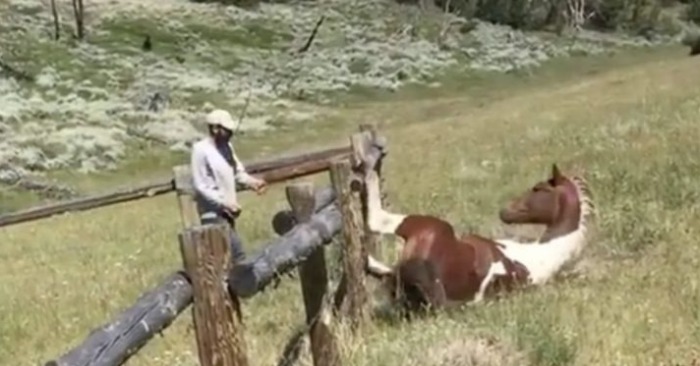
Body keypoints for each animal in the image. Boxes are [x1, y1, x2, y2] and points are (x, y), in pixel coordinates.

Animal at [364, 164, 592, 318]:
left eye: (538, 188)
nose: (505, 211)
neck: (547, 252)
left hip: (429, 226)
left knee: (376, 219)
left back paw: (368, 171)